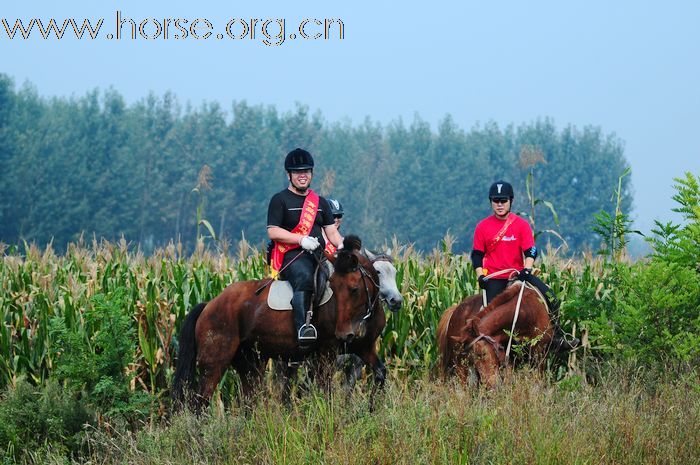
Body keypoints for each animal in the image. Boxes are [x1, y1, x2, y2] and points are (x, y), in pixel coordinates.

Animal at [172, 234, 400, 408]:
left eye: (395, 272)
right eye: (378, 272)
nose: (396, 301)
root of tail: (208, 305)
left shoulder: (364, 349)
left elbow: (379, 373)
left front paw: (372, 408)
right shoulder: (327, 352)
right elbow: (324, 389)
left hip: (250, 363)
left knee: (249, 400)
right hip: (215, 363)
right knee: (199, 403)